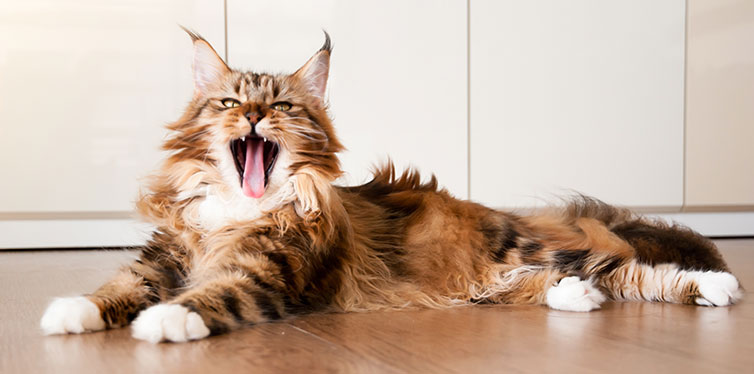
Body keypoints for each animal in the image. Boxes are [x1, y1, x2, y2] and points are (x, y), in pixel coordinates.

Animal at [39, 30, 740, 344]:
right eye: (230, 103)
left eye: (283, 106)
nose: (255, 117)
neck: (236, 213)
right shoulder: (161, 258)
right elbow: (116, 289)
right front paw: (71, 312)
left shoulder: (263, 274)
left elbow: (206, 296)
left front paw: (163, 321)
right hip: (493, 281)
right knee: (561, 285)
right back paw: (576, 299)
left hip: (529, 249)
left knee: (633, 272)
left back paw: (714, 286)